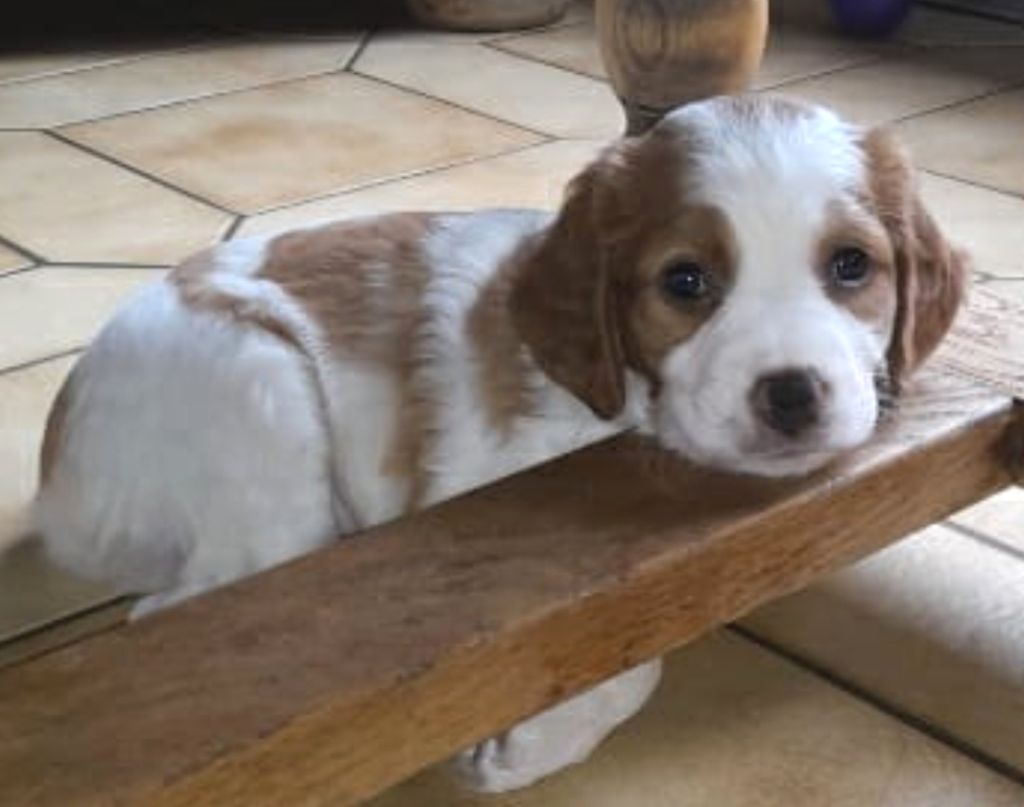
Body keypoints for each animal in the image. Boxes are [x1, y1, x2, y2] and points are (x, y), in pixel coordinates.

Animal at [32, 95, 966, 793]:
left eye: (851, 265)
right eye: (685, 281)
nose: (792, 395)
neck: (628, 410)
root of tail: (51, 486)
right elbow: (616, 650)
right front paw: (528, 744)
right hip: (260, 401)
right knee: (174, 610)